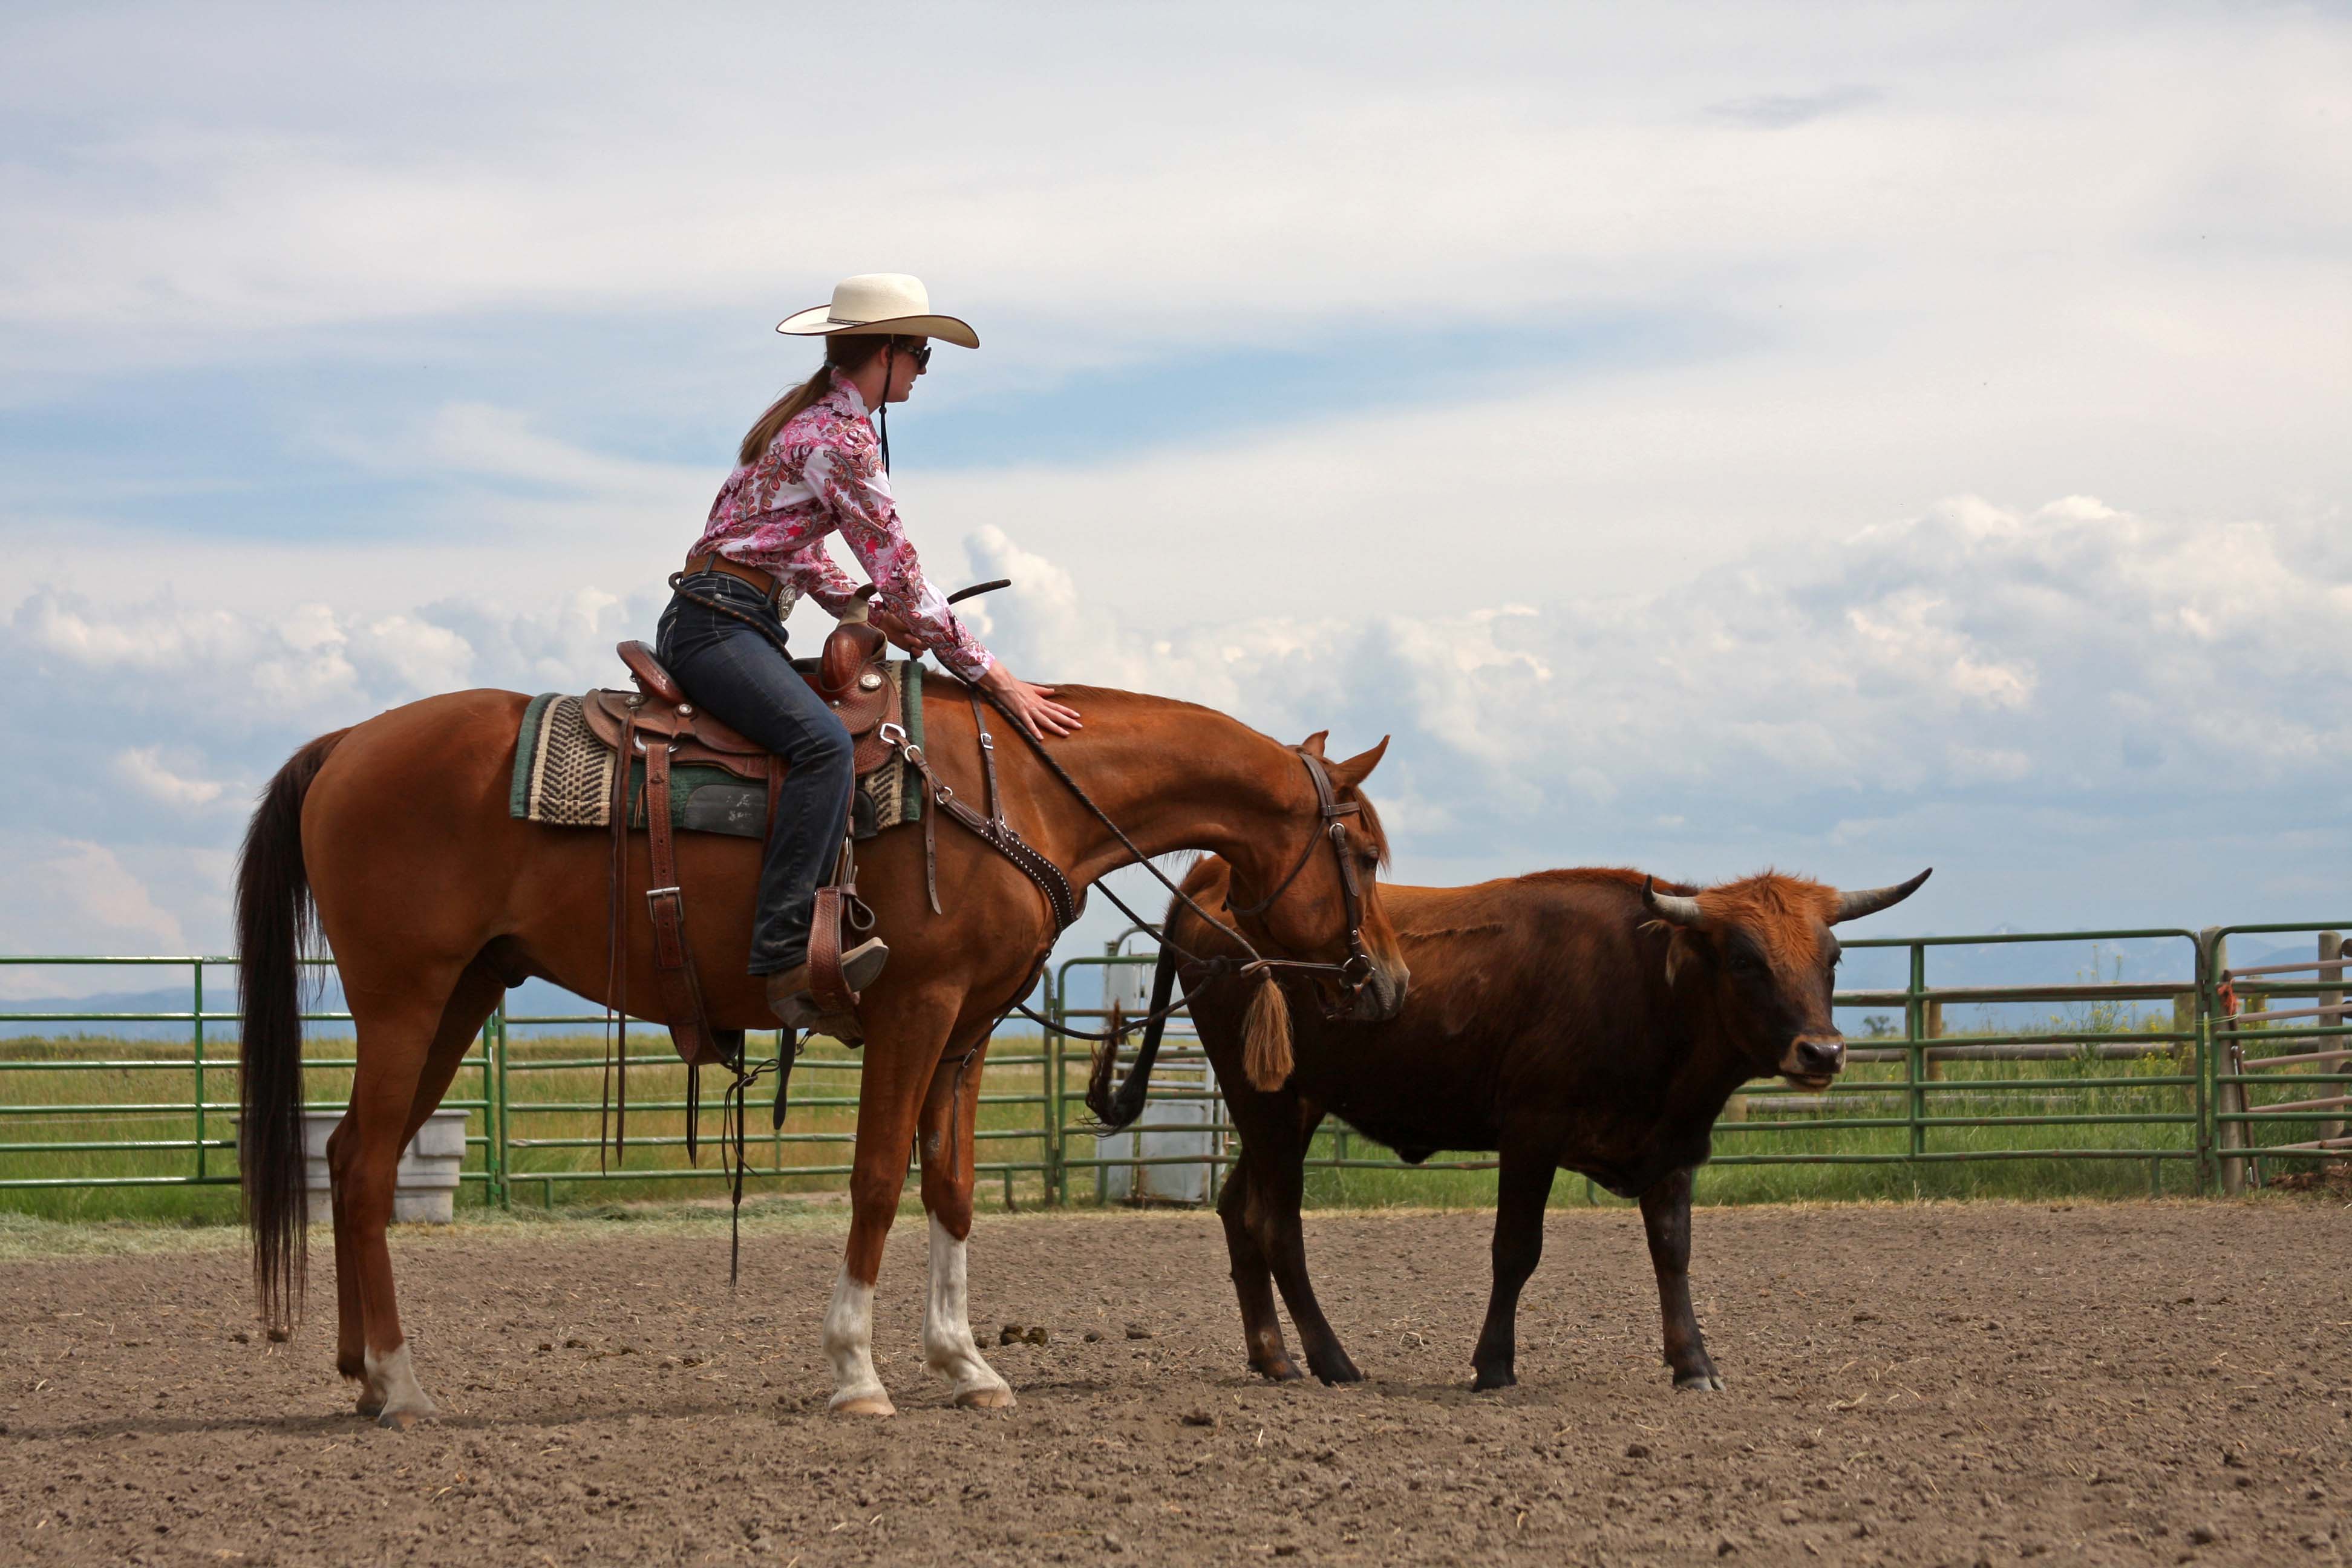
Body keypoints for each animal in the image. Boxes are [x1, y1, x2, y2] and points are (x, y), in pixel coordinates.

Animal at [234, 681, 1392, 1429]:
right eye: (1368, 851)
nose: (1383, 981)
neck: (1012, 786)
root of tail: (348, 742)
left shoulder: (967, 1029)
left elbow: (952, 1189)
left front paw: (965, 1364)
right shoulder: (915, 1011)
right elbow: (877, 1179)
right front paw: (857, 1373)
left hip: (461, 994)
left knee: (353, 1158)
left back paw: (363, 1374)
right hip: (406, 995)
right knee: (368, 1170)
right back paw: (402, 1385)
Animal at [1091, 865, 1919, 1391]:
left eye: (1832, 958)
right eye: (1745, 959)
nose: (1824, 1052)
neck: (1645, 984)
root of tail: (1210, 882)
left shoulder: (1672, 1143)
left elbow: (1673, 1252)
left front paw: (1694, 1364)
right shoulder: (1531, 1134)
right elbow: (1516, 1252)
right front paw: (1493, 1366)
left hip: (1287, 1108)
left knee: (1241, 1210)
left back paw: (1273, 1358)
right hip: (1267, 1101)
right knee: (1276, 1224)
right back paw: (1331, 1362)